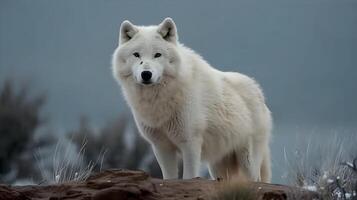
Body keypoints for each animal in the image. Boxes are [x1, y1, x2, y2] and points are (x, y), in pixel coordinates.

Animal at [112, 18, 272, 183]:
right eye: (136, 55)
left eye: (157, 55)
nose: (146, 74)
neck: (159, 100)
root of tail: (258, 91)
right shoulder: (161, 146)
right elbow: (169, 178)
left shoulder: (190, 143)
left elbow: (189, 176)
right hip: (217, 167)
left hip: (247, 161)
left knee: (256, 180)